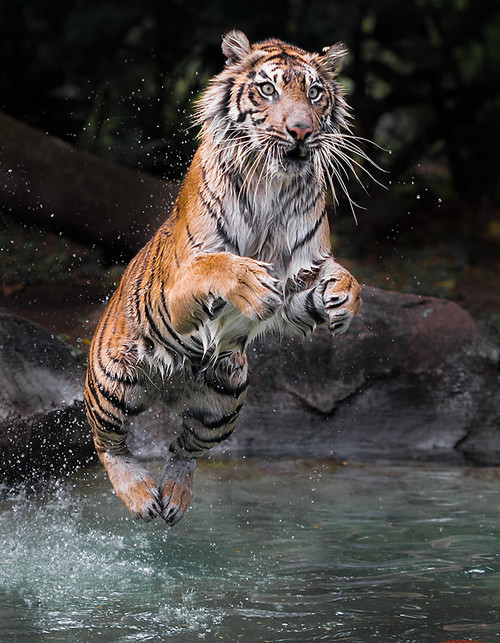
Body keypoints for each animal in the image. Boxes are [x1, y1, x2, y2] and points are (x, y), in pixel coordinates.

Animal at [84, 30, 366, 524]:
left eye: (314, 92)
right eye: (268, 89)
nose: (301, 131)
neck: (273, 184)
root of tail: (168, 390)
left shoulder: (302, 277)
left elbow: (334, 282)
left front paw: (343, 297)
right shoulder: (177, 291)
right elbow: (216, 266)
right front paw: (248, 282)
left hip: (226, 398)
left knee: (183, 448)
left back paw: (174, 497)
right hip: (112, 380)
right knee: (108, 443)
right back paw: (140, 495)